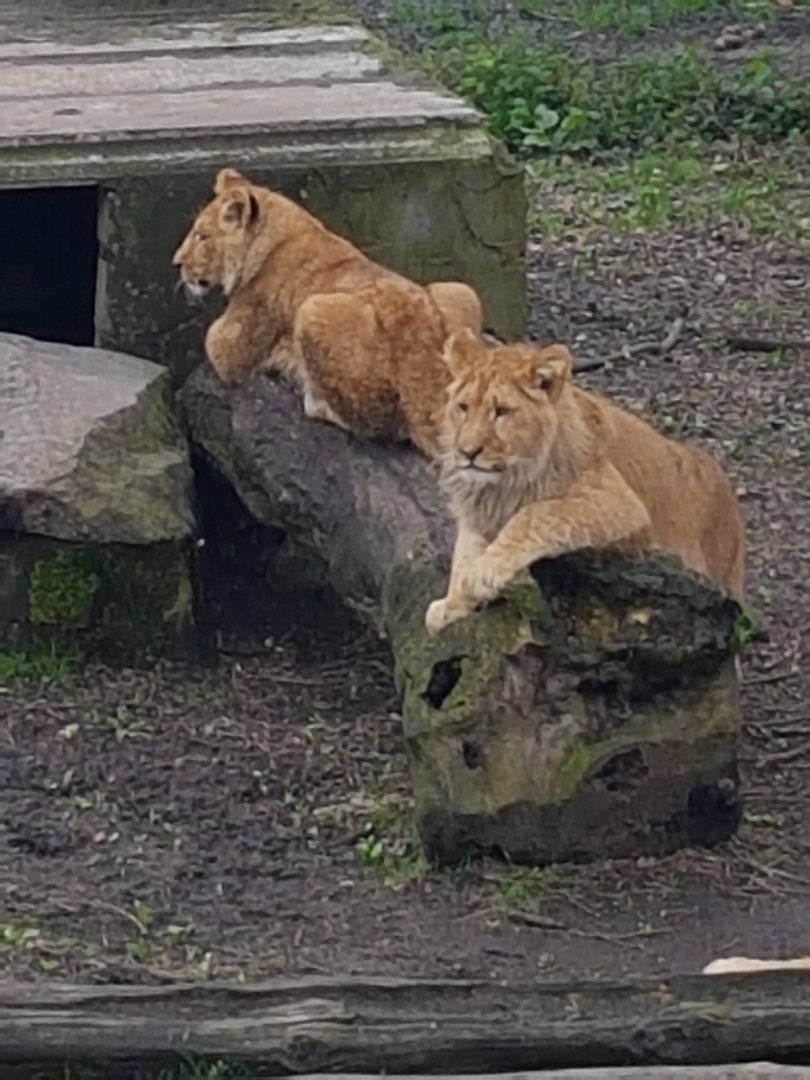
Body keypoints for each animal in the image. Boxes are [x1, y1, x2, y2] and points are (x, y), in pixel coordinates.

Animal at [172, 168, 483, 457]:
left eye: (201, 236)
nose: (177, 263)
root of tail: (422, 365)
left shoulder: (236, 351)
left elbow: (211, 339)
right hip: (459, 290)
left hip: (312, 308)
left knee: (380, 427)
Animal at [425, 329, 745, 635]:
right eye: (463, 408)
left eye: (501, 412)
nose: (467, 452)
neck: (502, 483)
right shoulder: (478, 511)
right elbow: (464, 551)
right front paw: (452, 603)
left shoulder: (622, 504)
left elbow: (537, 513)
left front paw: (485, 571)